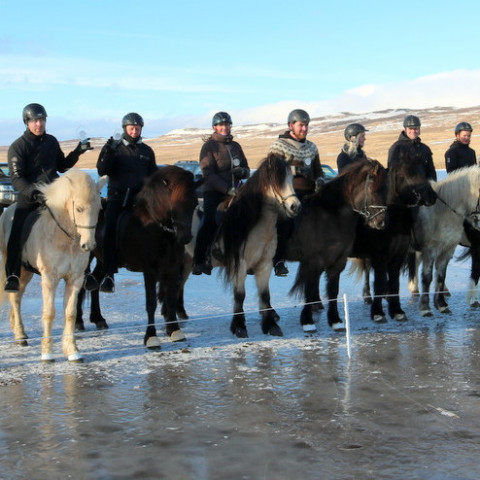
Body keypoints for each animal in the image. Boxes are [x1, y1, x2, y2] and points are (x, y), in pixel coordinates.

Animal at [0, 171, 106, 362]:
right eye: (79, 209)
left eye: (99, 209)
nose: (89, 245)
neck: (65, 239)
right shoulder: (50, 278)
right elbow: (49, 313)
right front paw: (47, 352)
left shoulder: (75, 279)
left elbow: (70, 313)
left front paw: (72, 351)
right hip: (15, 267)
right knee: (14, 297)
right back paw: (20, 335)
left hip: (26, 272)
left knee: (18, 296)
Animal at [286, 159, 388, 332]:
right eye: (374, 190)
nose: (380, 223)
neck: (329, 217)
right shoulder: (313, 261)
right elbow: (309, 289)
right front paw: (307, 321)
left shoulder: (338, 261)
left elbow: (333, 290)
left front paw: (335, 320)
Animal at [348, 147, 438, 322]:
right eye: (410, 175)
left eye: (423, 171)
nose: (432, 197)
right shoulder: (379, 256)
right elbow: (380, 282)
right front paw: (378, 313)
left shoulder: (397, 256)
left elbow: (394, 283)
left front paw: (397, 311)